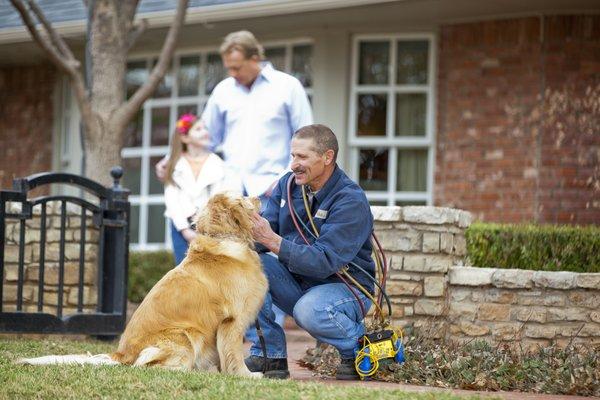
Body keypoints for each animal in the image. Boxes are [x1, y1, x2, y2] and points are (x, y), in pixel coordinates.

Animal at [18, 194, 268, 378]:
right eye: (243, 196)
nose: (259, 196)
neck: (224, 239)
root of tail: (120, 354)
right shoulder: (232, 320)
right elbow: (234, 355)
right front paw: (247, 376)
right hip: (186, 334)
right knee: (150, 368)